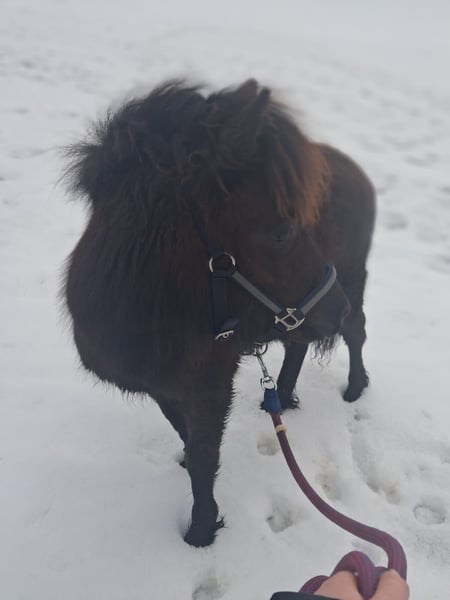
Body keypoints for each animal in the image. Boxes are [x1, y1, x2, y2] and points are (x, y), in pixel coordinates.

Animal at [63, 79, 375, 547]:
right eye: (282, 230)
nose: (334, 308)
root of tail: (360, 176)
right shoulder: (163, 386)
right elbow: (185, 435)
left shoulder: (211, 382)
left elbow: (204, 455)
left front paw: (201, 531)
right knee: (301, 345)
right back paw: (282, 396)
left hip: (353, 280)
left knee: (356, 334)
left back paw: (354, 388)